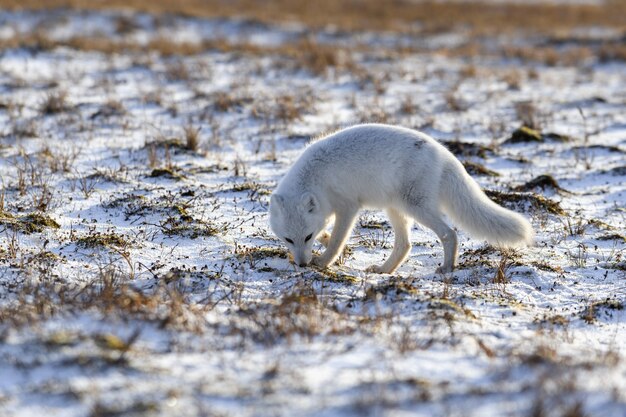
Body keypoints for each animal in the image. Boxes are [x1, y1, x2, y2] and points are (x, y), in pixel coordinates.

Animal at [268, 123, 532, 272]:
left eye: (306, 236)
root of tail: (444, 153)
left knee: (449, 234)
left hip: (415, 206)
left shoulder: (348, 207)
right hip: (395, 209)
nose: (301, 265)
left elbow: (336, 241)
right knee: (405, 245)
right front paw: (324, 244)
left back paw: (447, 268)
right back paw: (384, 270)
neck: (316, 178)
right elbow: (329, 235)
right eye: (288, 239)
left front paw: (323, 262)